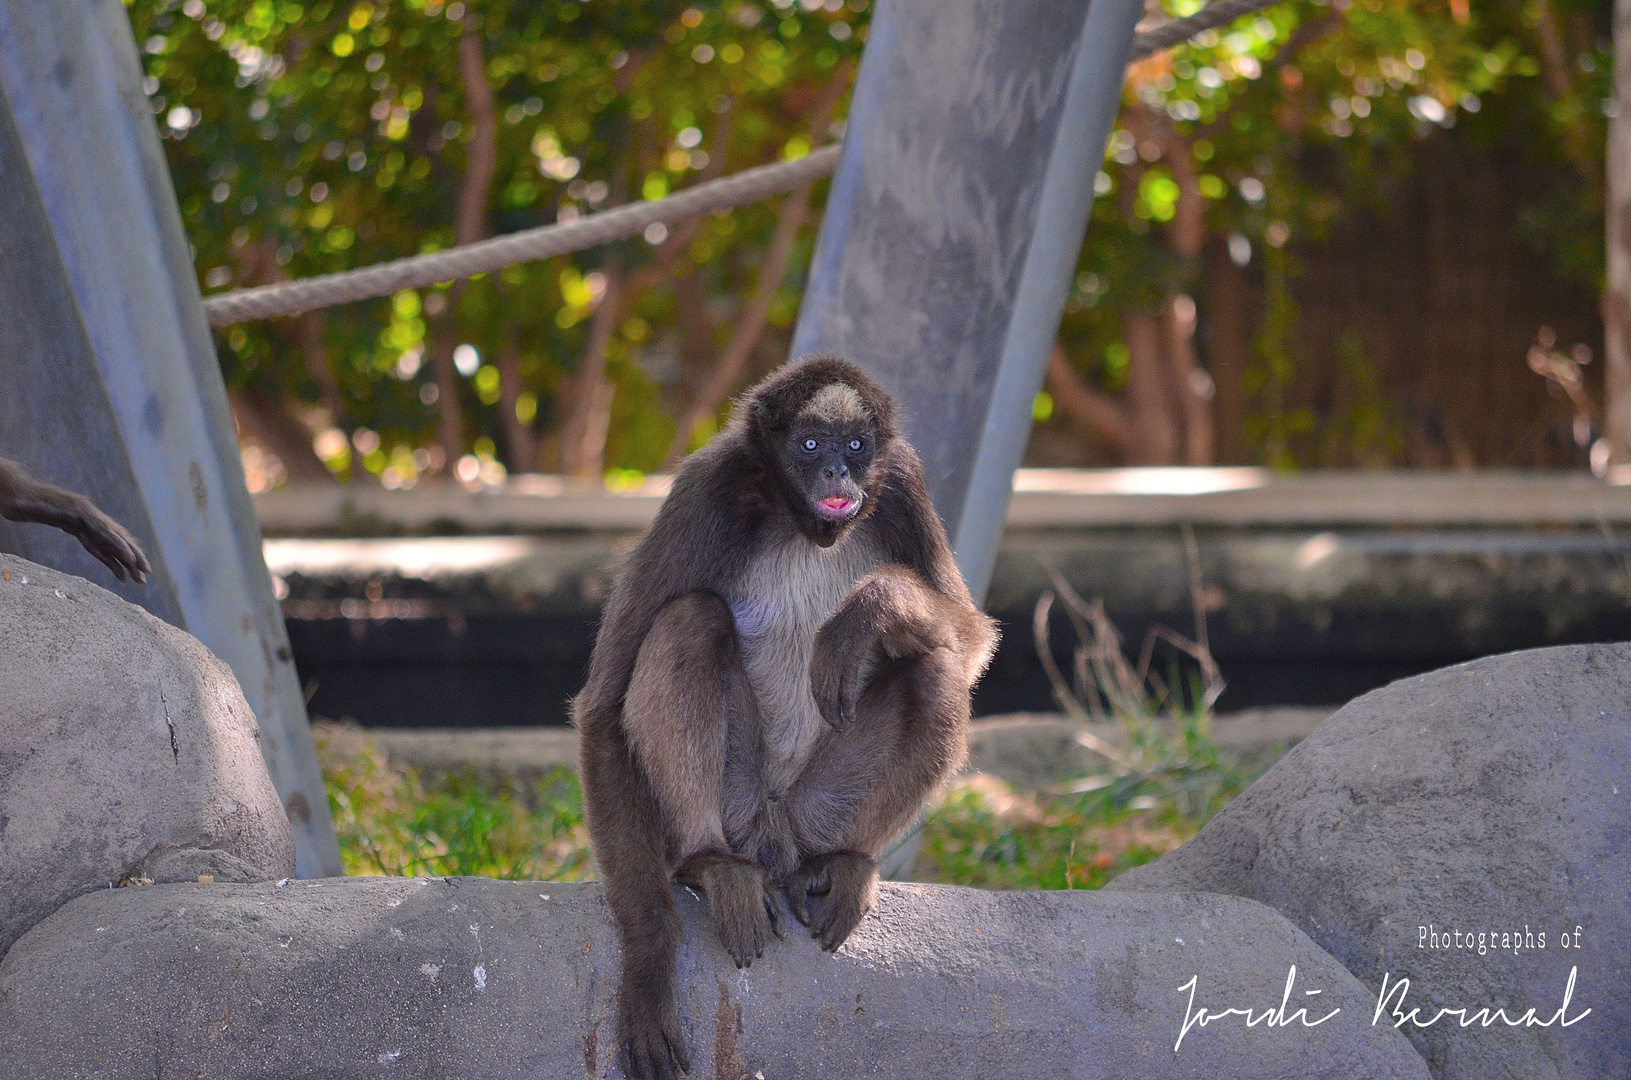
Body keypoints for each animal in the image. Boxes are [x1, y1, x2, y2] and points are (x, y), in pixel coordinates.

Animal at [580, 357, 998, 1080]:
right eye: (808, 445)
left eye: (855, 445)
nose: (836, 472)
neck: (808, 526)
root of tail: (775, 837)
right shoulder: (709, 485)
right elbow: (603, 707)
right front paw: (650, 965)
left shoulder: (901, 480)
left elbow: (968, 641)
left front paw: (872, 610)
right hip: (740, 807)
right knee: (692, 618)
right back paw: (708, 864)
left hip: (817, 810)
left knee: (933, 665)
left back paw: (844, 863)